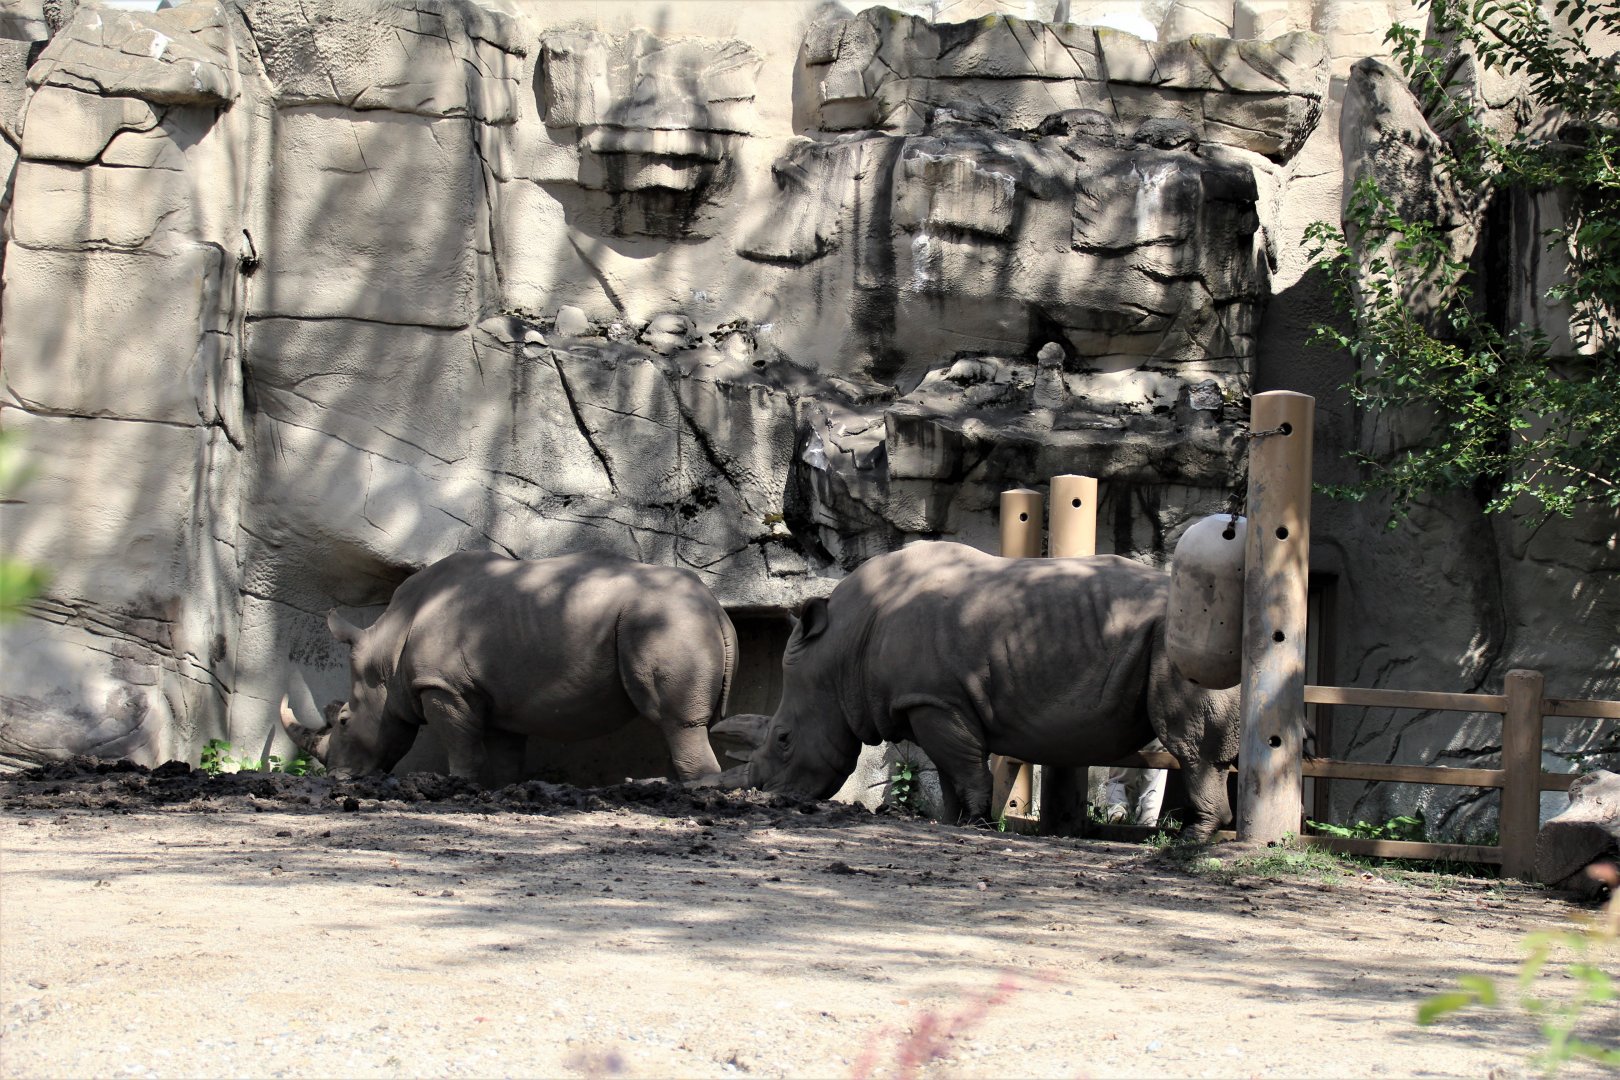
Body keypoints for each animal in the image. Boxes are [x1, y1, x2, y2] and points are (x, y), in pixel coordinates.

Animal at [278, 550, 734, 783]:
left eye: (343, 721)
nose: (336, 777)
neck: (386, 652)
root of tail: (717, 609)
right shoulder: (497, 696)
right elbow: (504, 752)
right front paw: (505, 790)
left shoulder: (442, 686)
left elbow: (461, 743)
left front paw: (458, 786)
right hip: (678, 620)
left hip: (666, 621)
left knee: (674, 720)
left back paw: (696, 792)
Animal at [736, 541, 1241, 838]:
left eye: (784, 739)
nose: (770, 797)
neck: (842, 652)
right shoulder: (932, 702)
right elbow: (947, 768)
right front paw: (950, 820)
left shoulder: (936, 699)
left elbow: (963, 766)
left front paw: (975, 822)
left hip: (1180, 640)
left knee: (1189, 742)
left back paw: (1189, 841)